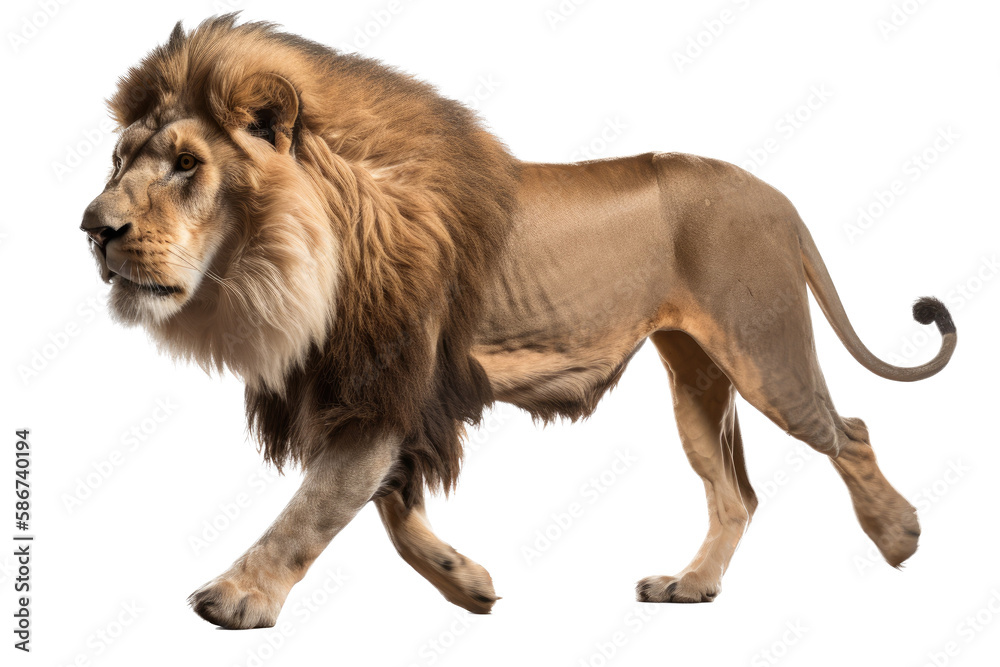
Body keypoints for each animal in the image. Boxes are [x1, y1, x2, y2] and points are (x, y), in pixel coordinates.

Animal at [81, 15, 956, 629]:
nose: (93, 228)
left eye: (187, 164)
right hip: (696, 374)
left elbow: (317, 505)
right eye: (120, 159)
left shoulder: (388, 385)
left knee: (850, 430)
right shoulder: (389, 393)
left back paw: (900, 535)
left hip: (763, 349)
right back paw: (692, 585)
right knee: (736, 491)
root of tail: (777, 196)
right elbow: (390, 507)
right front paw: (467, 584)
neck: (291, 265)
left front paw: (238, 595)